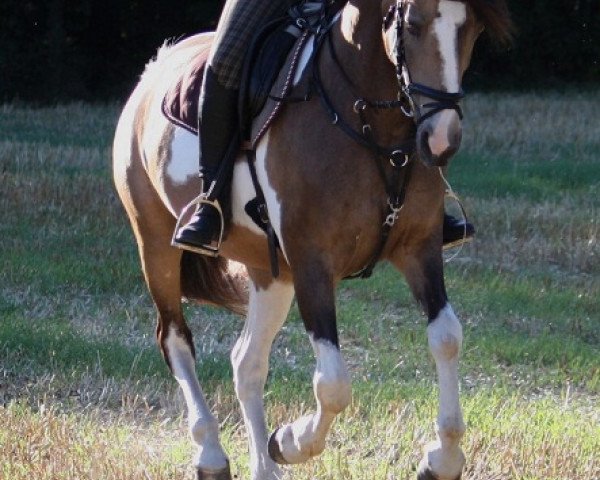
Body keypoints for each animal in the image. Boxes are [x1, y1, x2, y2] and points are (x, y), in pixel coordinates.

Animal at [112, 0, 510, 476]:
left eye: (473, 30)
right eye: (412, 25)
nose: (441, 140)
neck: (370, 123)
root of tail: (153, 70)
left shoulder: (419, 248)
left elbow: (447, 337)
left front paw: (442, 459)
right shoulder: (311, 262)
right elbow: (333, 383)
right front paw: (291, 441)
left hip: (269, 271)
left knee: (246, 362)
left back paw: (264, 469)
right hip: (154, 243)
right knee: (174, 338)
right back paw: (211, 454)